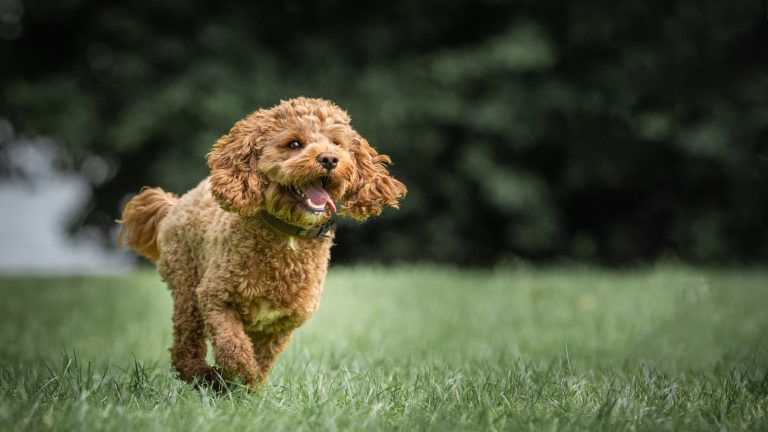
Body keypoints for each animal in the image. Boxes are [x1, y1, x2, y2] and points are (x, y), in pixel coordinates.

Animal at [118, 98, 408, 388]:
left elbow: (262, 360)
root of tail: (176, 204)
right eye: (294, 144)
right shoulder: (215, 298)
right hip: (187, 287)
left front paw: (245, 388)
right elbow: (233, 346)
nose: (329, 158)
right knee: (185, 345)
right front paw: (237, 378)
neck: (287, 236)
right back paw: (203, 375)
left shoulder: (279, 324)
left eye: (337, 143)